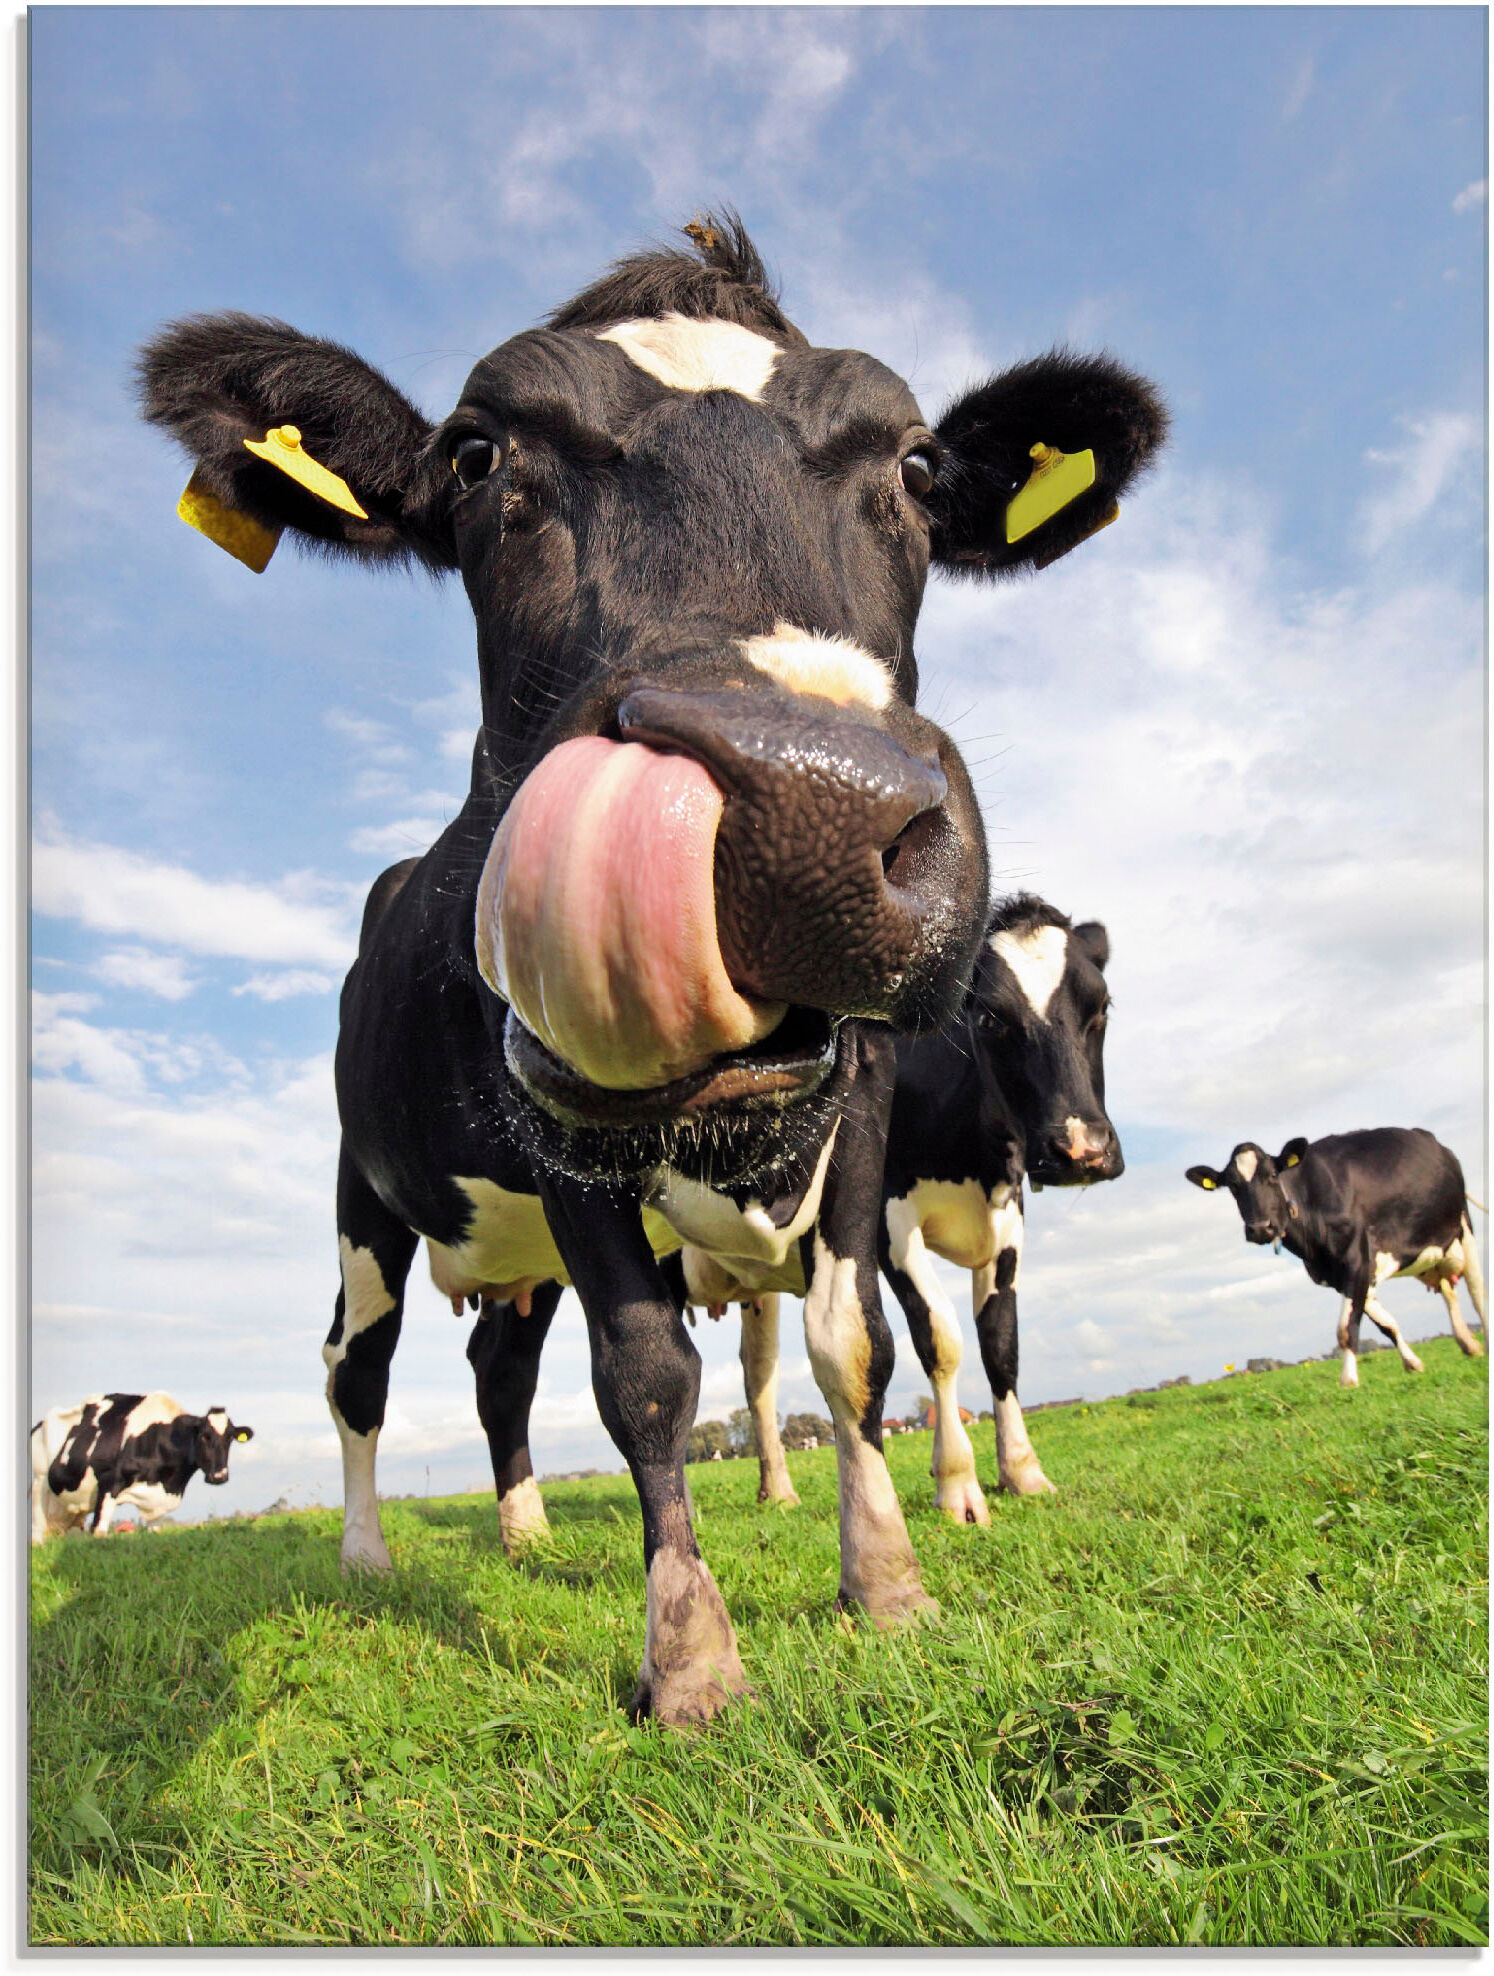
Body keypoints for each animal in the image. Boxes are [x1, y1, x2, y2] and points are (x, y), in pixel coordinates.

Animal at [30, 1393, 254, 1542]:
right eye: (204, 1436)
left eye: (230, 1438)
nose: (219, 1476)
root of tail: (39, 1425)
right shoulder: (108, 1483)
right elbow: (99, 1531)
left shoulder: (158, 1502)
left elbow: (155, 1531)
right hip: (39, 1484)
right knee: (38, 1533)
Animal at [140, 214, 1166, 1725]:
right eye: (476, 457)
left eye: (919, 468)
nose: (812, 807)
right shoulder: (557, 1123)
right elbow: (643, 1374)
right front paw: (687, 1655)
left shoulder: (863, 1112)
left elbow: (854, 1346)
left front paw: (888, 1581)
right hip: (363, 1196)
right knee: (356, 1365)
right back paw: (369, 1553)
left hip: (512, 1255)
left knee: (498, 1367)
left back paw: (518, 1527)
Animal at [1185, 1129, 1487, 1386]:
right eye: (1232, 1186)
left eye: (1272, 1175)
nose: (1260, 1228)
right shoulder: (1341, 1274)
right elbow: (1386, 1324)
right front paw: (1412, 1363)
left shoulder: (1357, 1259)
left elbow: (1345, 1329)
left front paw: (1348, 1380)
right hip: (1433, 1252)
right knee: (1449, 1291)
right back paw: (1468, 1344)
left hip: (1463, 1228)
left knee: (1477, 1295)